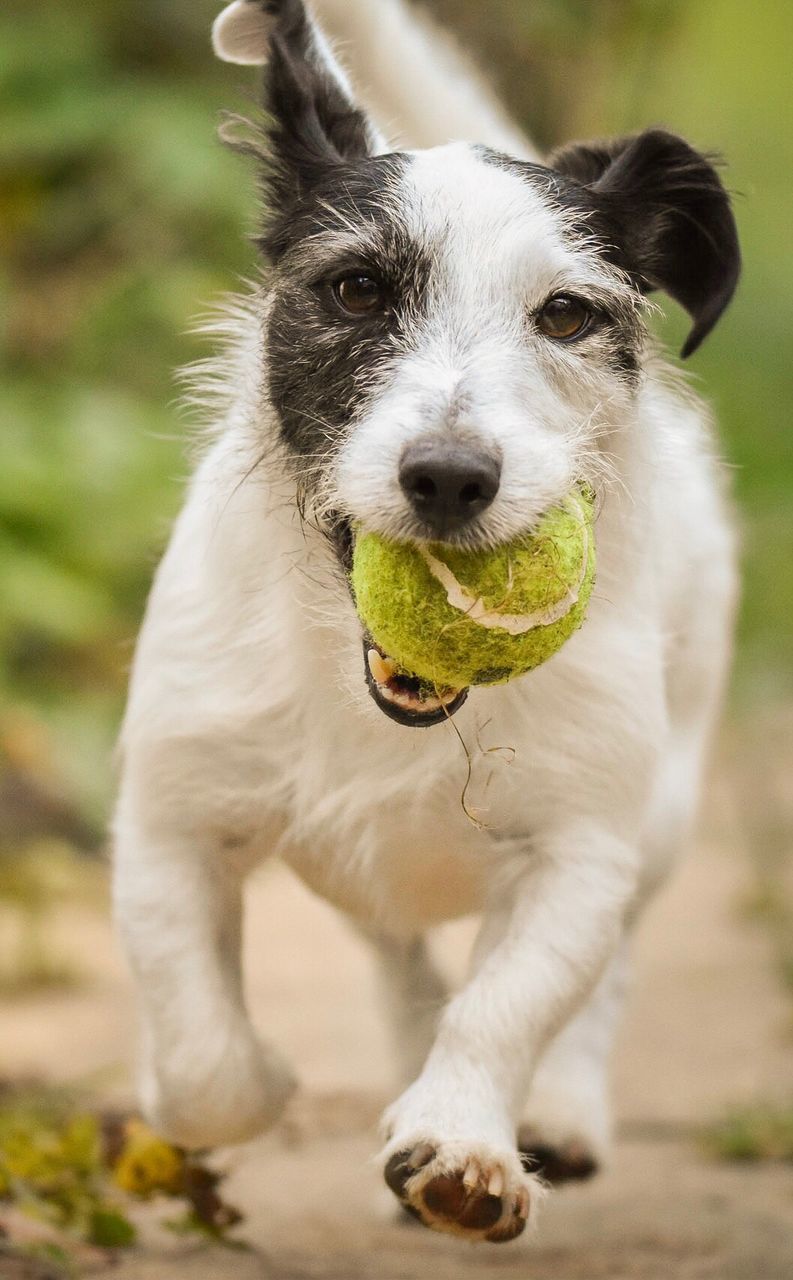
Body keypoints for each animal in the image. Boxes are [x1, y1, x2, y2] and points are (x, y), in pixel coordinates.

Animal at [114, 0, 741, 1239]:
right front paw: (232, 1083)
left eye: (565, 314)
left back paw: (557, 1112)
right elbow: (203, 1053)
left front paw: (463, 1145)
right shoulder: (170, 819)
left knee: (606, 970)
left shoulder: (577, 853)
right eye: (358, 290)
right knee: (397, 951)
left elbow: (508, 1002)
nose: (449, 476)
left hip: (664, 812)